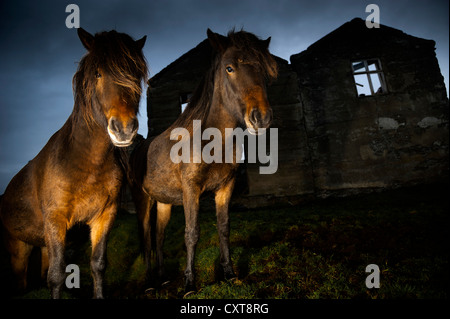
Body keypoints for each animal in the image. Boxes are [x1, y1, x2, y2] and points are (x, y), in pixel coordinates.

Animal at [0, 28, 148, 300]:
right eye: (98, 73)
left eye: (135, 74)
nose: (124, 129)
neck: (86, 162)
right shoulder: (56, 220)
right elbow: (57, 275)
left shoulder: (104, 216)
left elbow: (97, 264)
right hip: (18, 248)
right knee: (21, 280)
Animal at [130, 28, 278, 294]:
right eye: (229, 68)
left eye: (263, 68)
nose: (261, 117)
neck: (210, 140)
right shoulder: (191, 190)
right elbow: (191, 233)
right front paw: (189, 283)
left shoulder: (225, 187)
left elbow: (224, 227)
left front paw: (229, 274)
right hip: (142, 200)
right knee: (145, 238)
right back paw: (149, 283)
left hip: (164, 202)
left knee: (158, 237)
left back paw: (163, 278)